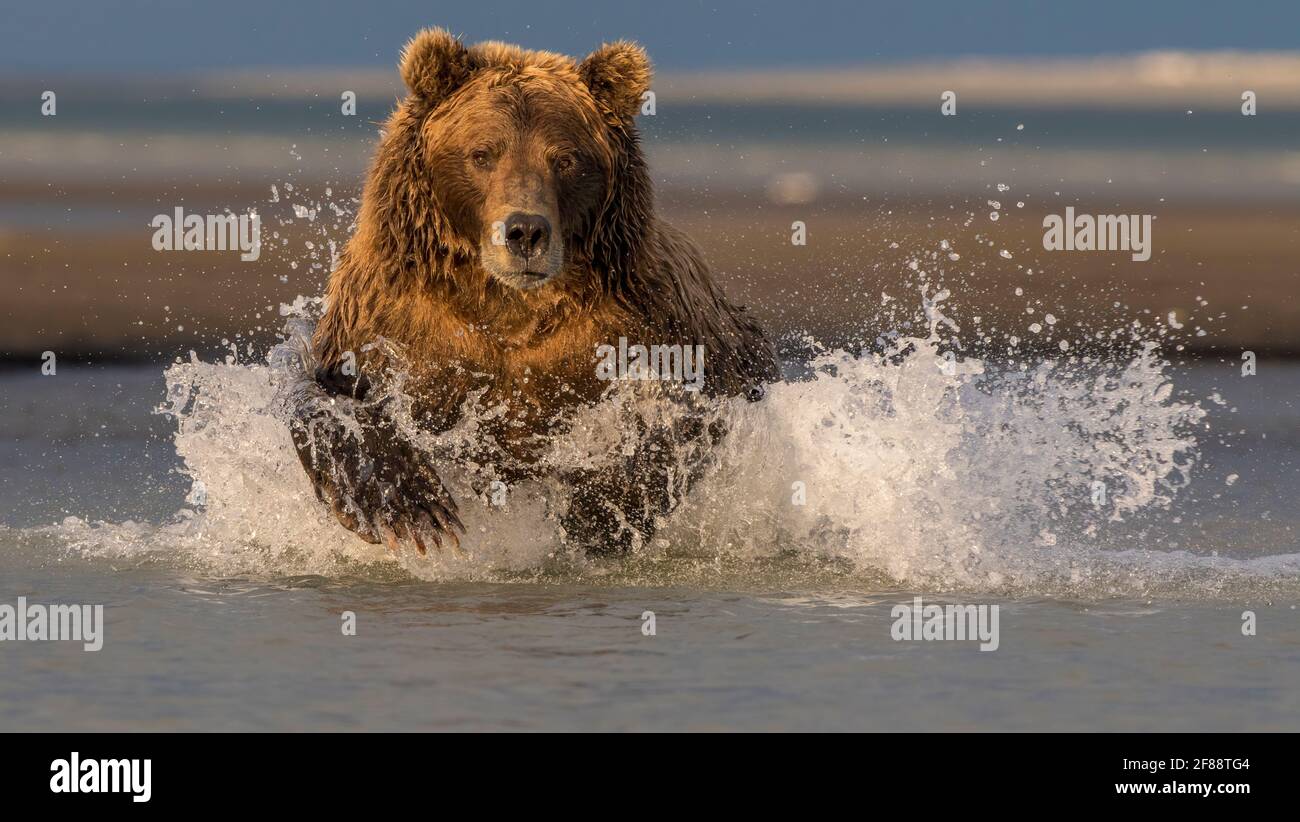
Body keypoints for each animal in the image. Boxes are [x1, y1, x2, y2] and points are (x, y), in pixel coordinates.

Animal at [292, 30, 780, 559]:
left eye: (565, 158)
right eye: (482, 153)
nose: (525, 231)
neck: (509, 307)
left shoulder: (645, 321)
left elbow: (688, 411)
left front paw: (598, 508)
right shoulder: (392, 322)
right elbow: (323, 394)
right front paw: (409, 504)